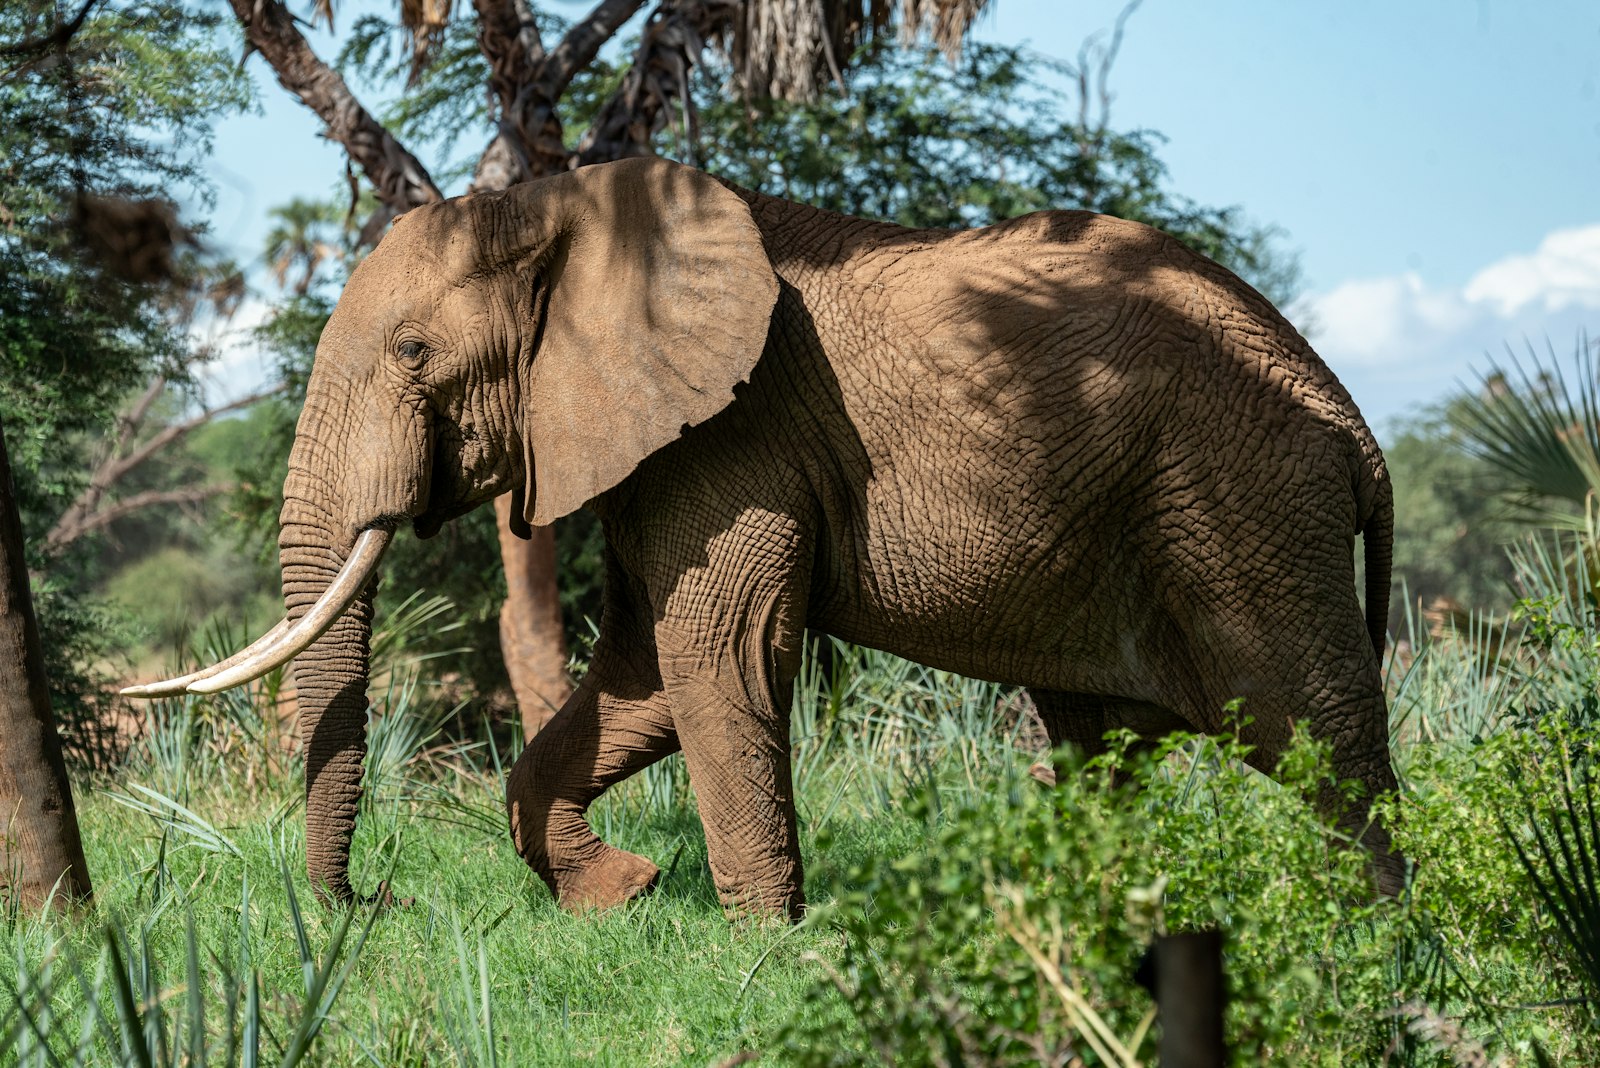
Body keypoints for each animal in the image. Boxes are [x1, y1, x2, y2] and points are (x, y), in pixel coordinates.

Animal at [131, 154, 1408, 914]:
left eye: (411, 353)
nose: (373, 905)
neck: (562, 204)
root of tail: (1355, 422)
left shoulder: (736, 433)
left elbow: (718, 654)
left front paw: (761, 950)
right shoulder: (663, 443)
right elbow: (643, 675)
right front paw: (621, 894)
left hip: (1241, 500)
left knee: (1314, 732)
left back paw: (1378, 943)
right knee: (1107, 742)